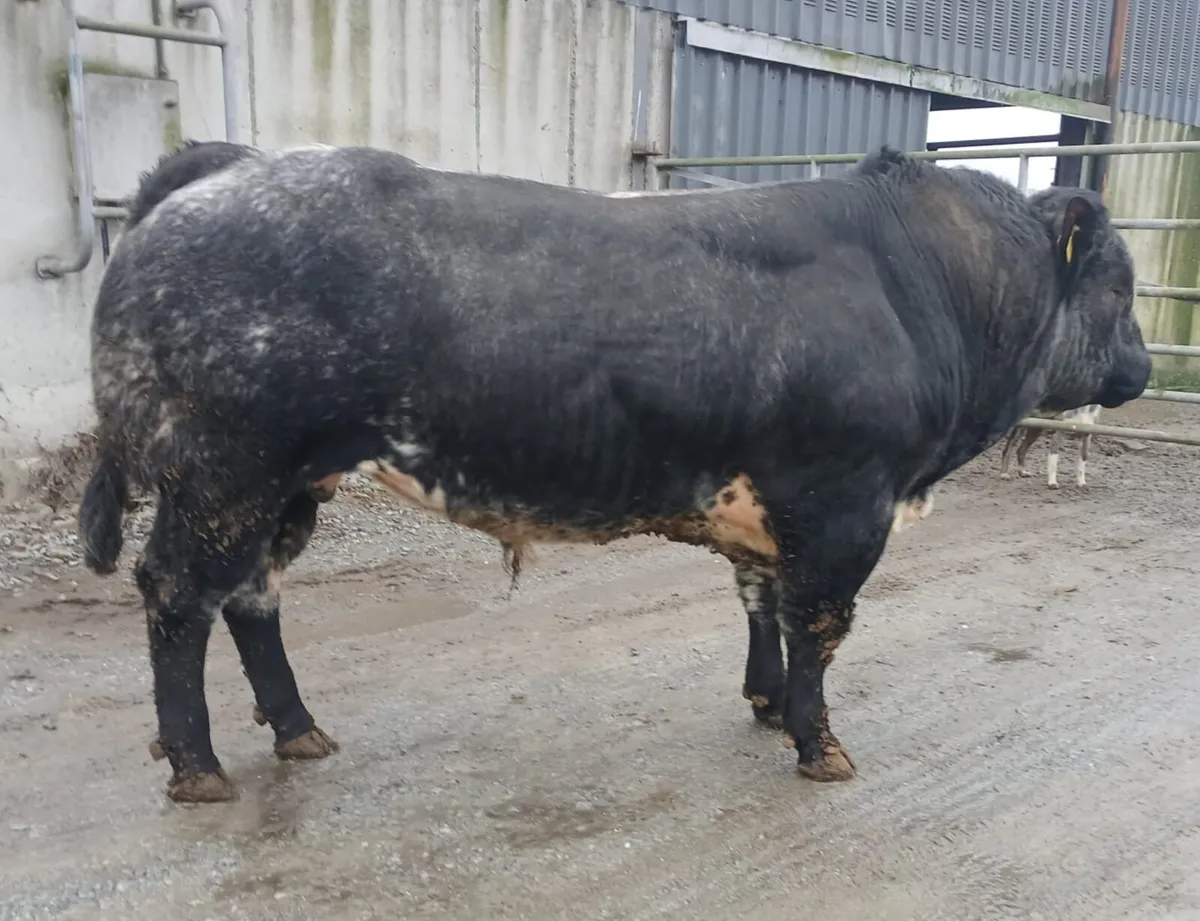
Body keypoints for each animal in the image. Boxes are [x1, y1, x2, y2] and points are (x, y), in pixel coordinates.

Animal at [78, 142, 1151, 804]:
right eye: (1121, 284)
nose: (1143, 369)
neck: (917, 283)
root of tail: (232, 168)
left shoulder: (768, 501)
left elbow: (762, 602)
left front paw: (767, 704)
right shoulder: (846, 499)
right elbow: (819, 623)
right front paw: (819, 740)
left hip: (284, 485)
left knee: (251, 596)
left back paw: (297, 727)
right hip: (221, 473)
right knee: (177, 594)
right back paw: (197, 763)